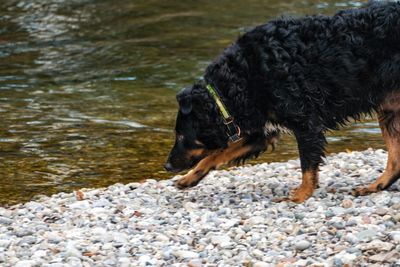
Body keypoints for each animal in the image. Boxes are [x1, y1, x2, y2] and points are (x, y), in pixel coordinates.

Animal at [163, 1, 400, 203]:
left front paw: (301, 195)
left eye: (181, 135)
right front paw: (191, 177)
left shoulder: (306, 124)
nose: (166, 165)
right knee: (395, 162)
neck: (240, 79)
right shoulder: (261, 132)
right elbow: (216, 155)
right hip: (389, 110)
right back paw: (375, 186)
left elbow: (307, 167)